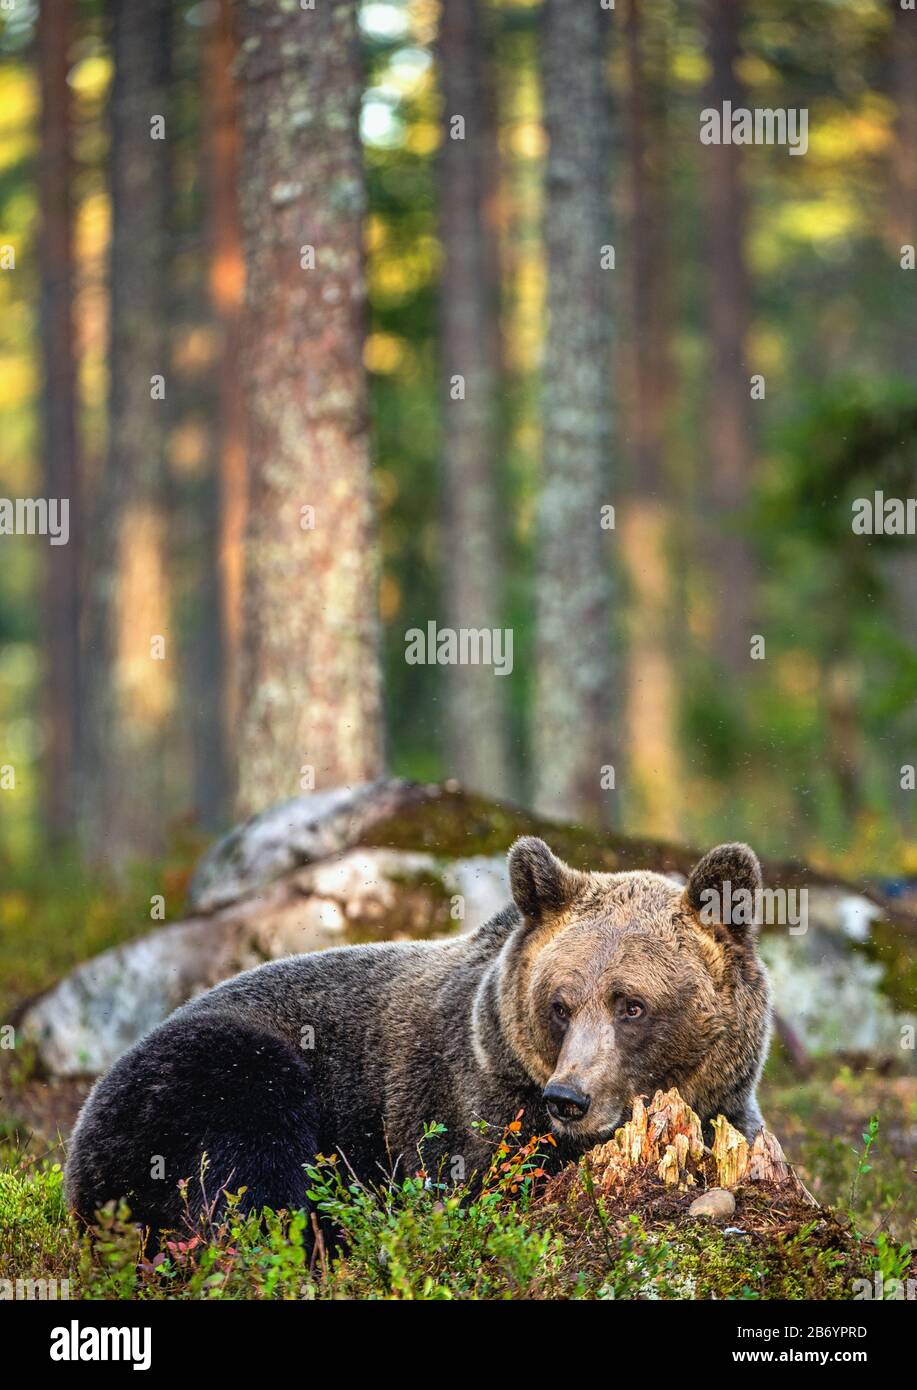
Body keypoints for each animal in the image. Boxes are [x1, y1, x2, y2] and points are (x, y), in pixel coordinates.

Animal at [65, 836, 771, 1238]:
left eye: (631, 1005)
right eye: (561, 1005)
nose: (569, 1099)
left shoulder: (728, 1107)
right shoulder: (461, 1101)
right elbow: (475, 1180)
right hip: (211, 1074)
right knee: (246, 1175)